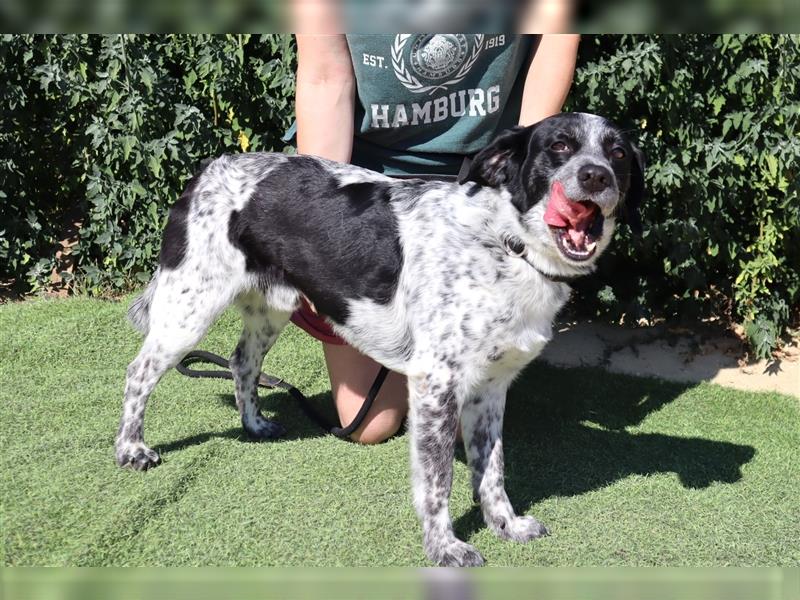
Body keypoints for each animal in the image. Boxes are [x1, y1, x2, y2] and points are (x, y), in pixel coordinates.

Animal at [117, 112, 644, 568]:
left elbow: (491, 469)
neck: (505, 244)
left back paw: (254, 424)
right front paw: (444, 548)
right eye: (559, 147)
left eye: (617, 153)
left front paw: (506, 525)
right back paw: (131, 450)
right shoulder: (435, 385)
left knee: (241, 361)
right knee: (138, 372)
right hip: (189, 308)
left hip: (273, 308)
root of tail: (209, 169)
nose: (596, 177)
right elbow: (438, 480)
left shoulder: (491, 387)